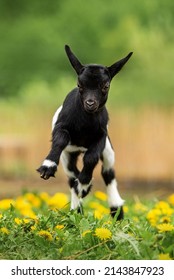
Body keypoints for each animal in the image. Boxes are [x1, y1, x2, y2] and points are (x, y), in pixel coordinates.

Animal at [36, 44, 132, 220]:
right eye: (80, 85)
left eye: (105, 86)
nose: (90, 103)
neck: (84, 124)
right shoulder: (61, 128)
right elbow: (60, 141)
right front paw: (47, 166)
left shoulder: (101, 136)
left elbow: (91, 158)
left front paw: (84, 185)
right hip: (68, 155)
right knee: (71, 175)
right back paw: (77, 208)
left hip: (108, 150)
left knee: (108, 173)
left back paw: (115, 209)